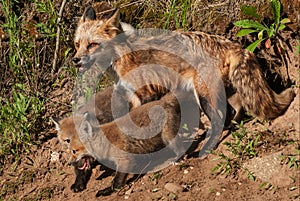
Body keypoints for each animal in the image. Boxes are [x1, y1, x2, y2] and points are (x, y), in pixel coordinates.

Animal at [53, 91, 199, 196]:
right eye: (67, 143)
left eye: (74, 150)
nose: (69, 163)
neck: (104, 143)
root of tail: (163, 100)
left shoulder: (124, 160)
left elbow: (117, 182)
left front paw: (107, 191)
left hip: (169, 137)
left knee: (181, 149)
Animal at [72, 6, 296, 156]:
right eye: (77, 44)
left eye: (92, 45)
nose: (75, 60)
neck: (120, 57)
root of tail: (234, 45)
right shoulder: (133, 97)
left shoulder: (146, 94)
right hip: (224, 93)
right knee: (234, 111)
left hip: (203, 95)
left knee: (219, 120)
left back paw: (206, 149)